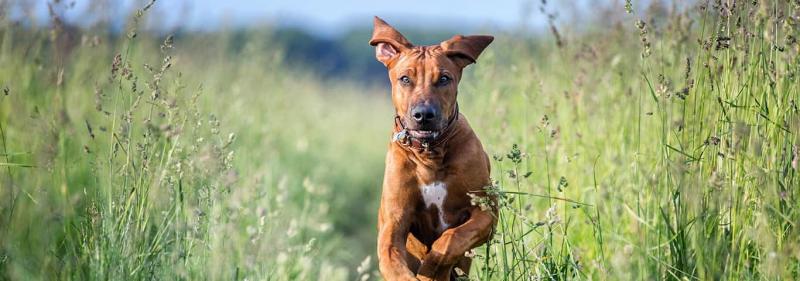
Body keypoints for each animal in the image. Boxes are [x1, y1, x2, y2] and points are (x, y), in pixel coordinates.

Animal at [372, 17, 496, 280]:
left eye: (444, 79)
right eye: (405, 79)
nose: (423, 115)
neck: (430, 154)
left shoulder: (487, 212)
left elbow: (451, 239)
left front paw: (432, 269)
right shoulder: (393, 224)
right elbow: (393, 260)